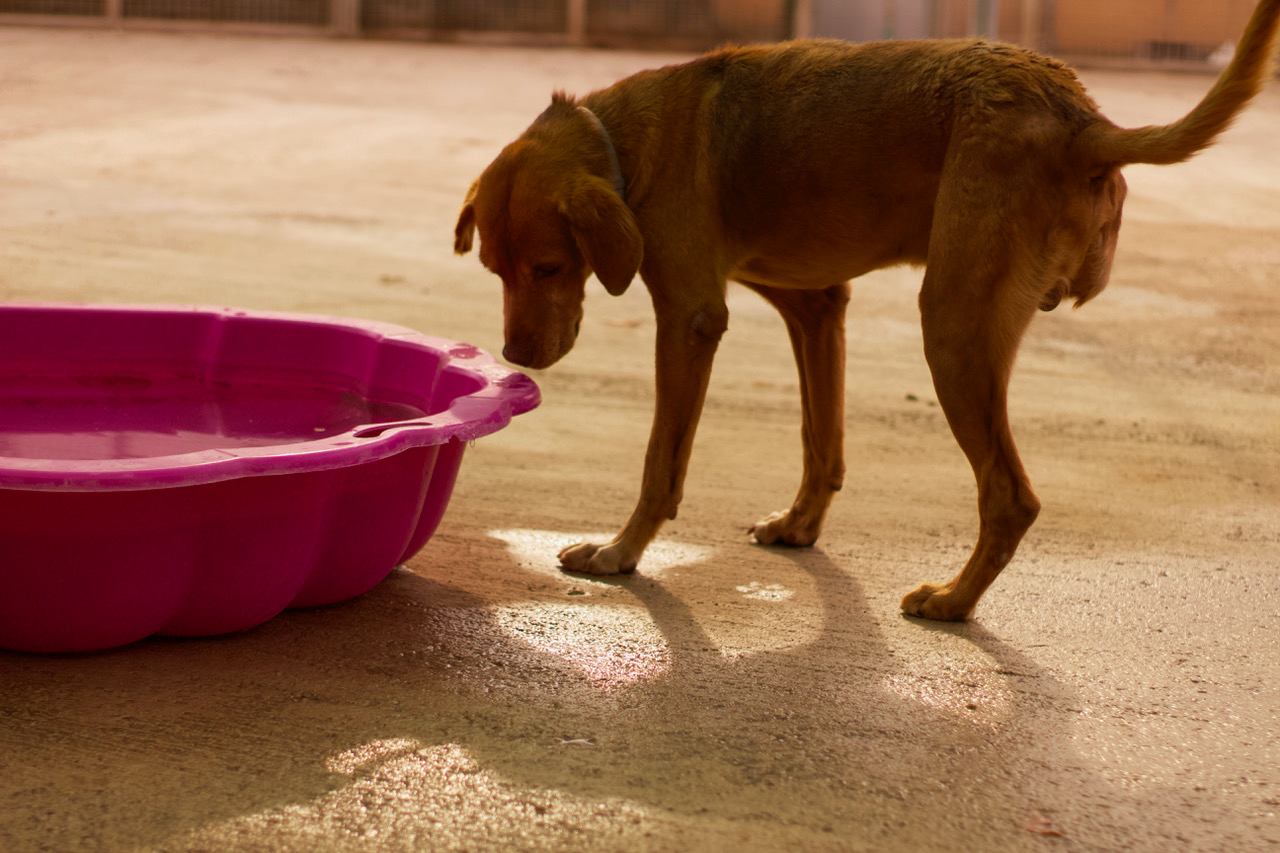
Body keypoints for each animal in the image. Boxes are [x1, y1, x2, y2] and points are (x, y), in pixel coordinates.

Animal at [455, 3, 1274, 622]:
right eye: (494, 270)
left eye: (550, 267)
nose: (517, 356)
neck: (625, 143)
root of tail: (1080, 119)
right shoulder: (817, 307)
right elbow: (823, 441)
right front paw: (801, 526)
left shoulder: (690, 322)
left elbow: (663, 462)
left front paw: (619, 552)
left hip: (953, 328)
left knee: (1011, 497)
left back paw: (953, 601)